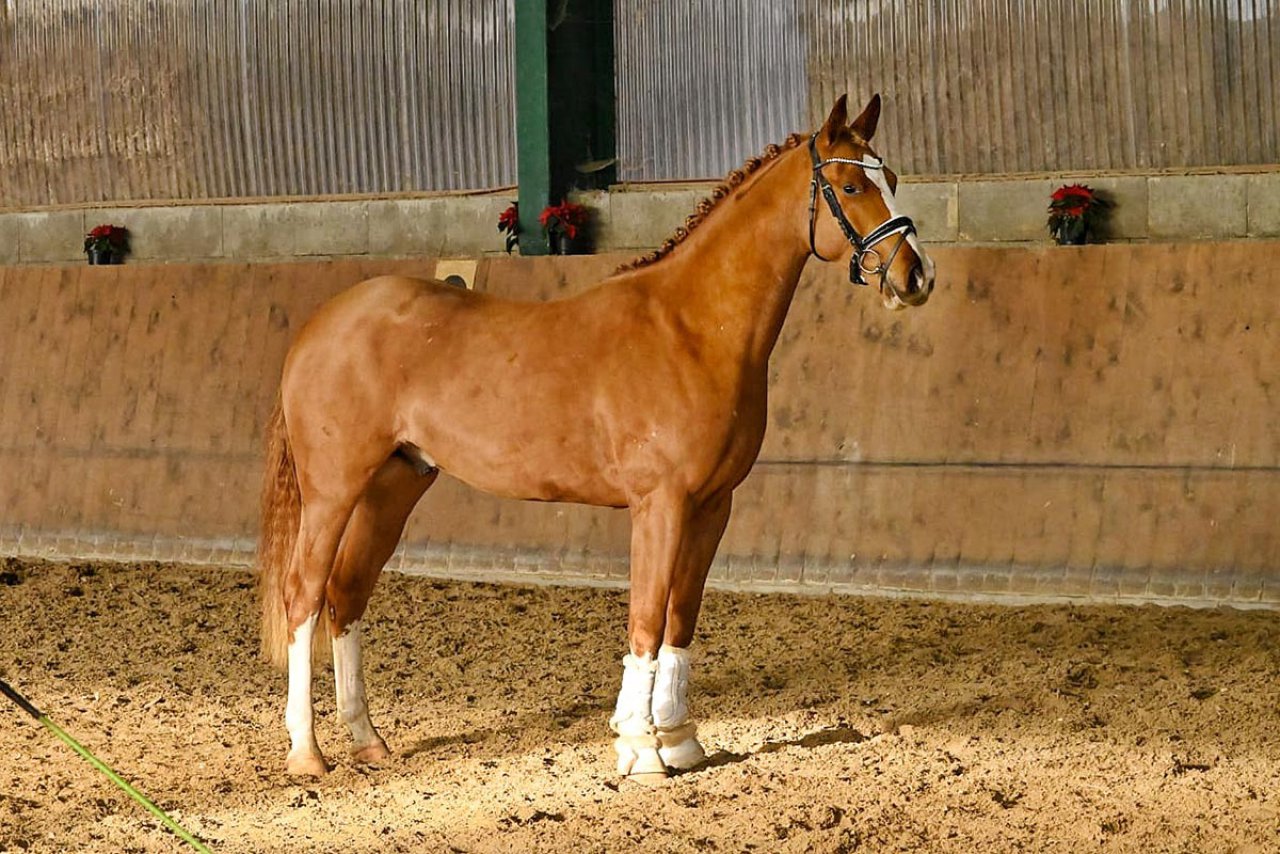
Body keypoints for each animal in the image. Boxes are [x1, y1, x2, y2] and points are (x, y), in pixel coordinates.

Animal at [259, 93, 936, 783]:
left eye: (891, 178)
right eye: (851, 186)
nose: (916, 277)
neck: (690, 328)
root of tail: (320, 325)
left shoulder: (712, 507)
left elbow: (680, 621)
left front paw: (680, 742)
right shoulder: (660, 505)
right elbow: (646, 619)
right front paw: (640, 749)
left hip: (392, 489)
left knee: (345, 595)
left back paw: (367, 740)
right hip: (333, 492)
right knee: (303, 596)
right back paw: (306, 752)